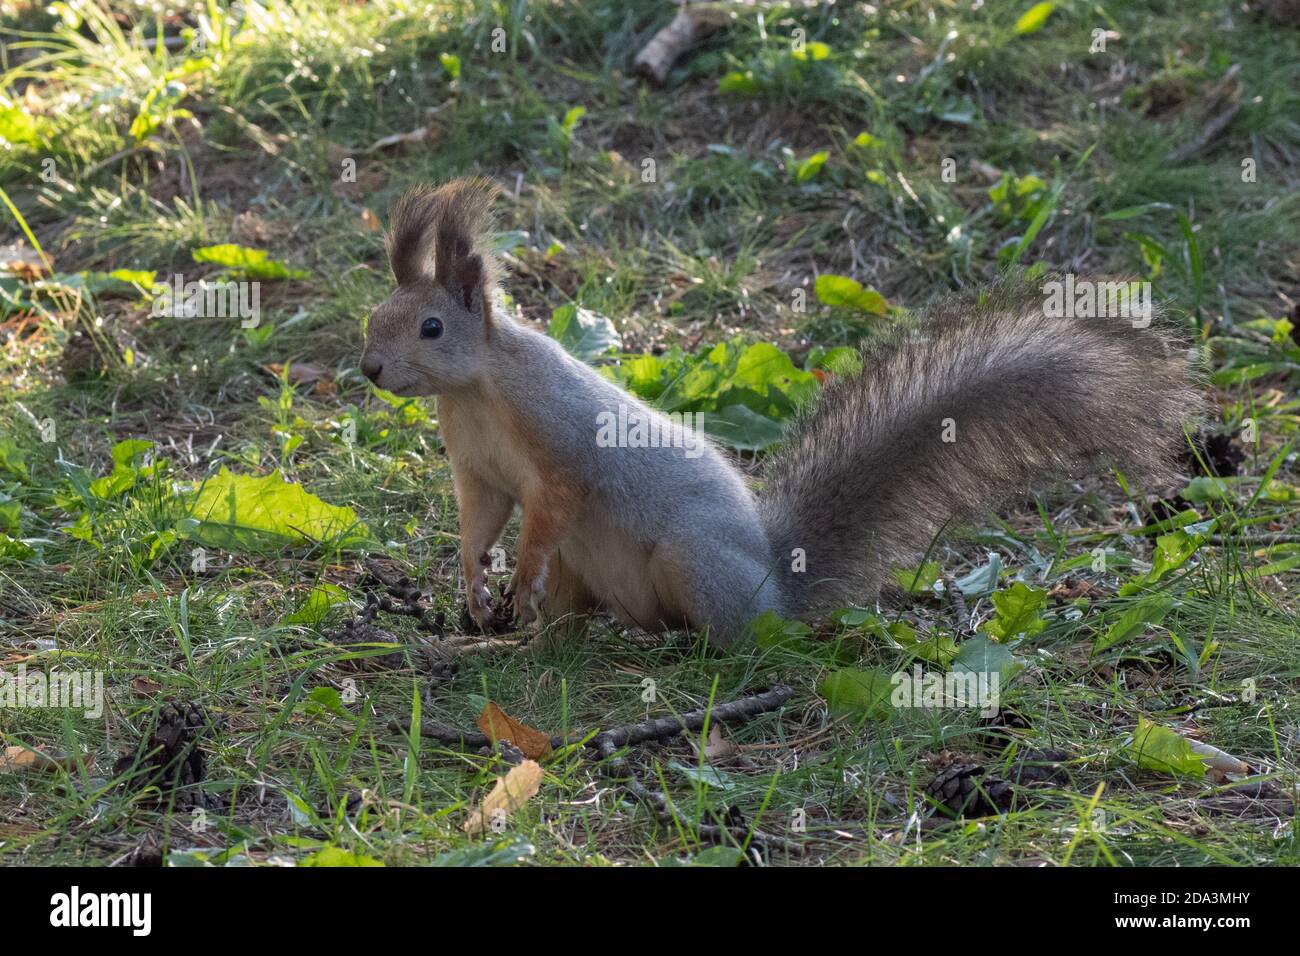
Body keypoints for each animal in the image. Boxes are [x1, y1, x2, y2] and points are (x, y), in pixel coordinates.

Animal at [361, 175, 1201, 647]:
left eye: (431, 328)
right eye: (376, 317)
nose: (370, 369)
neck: (476, 392)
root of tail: (776, 593)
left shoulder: (556, 442)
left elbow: (551, 508)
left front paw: (519, 573)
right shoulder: (477, 471)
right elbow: (479, 523)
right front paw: (475, 586)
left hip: (690, 563)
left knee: (729, 641)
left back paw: (676, 646)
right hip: (592, 574)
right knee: (572, 632)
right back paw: (512, 645)